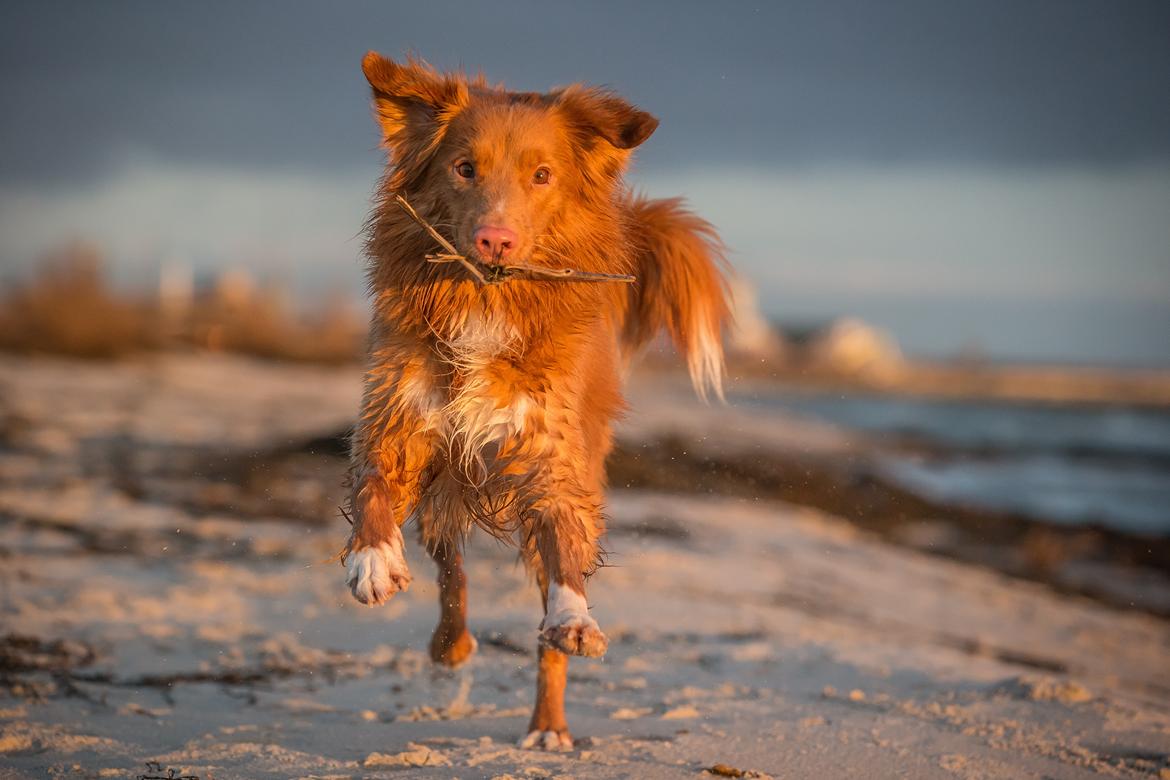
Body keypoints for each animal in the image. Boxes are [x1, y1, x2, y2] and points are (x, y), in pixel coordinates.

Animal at [341, 50, 725, 748]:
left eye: (542, 175)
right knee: (451, 568)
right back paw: (451, 646)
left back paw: (548, 725)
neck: (485, 303)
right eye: (465, 167)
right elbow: (374, 488)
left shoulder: (552, 462)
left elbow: (565, 555)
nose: (495, 241)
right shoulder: (397, 420)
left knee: (543, 628)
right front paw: (374, 562)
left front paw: (574, 615)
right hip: (449, 476)